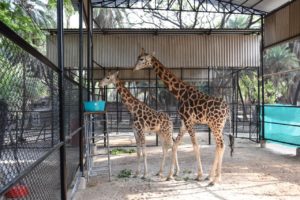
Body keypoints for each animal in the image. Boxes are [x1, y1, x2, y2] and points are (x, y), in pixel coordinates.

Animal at [134, 49, 234, 185]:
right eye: (138, 57)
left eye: (142, 59)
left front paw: (199, 175)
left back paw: (215, 179)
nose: (134, 68)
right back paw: (210, 176)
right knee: (219, 146)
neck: (180, 93)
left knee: (221, 145)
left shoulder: (188, 120)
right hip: (219, 125)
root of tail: (227, 109)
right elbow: (175, 144)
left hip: (216, 125)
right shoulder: (183, 122)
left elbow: (195, 146)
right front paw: (170, 175)